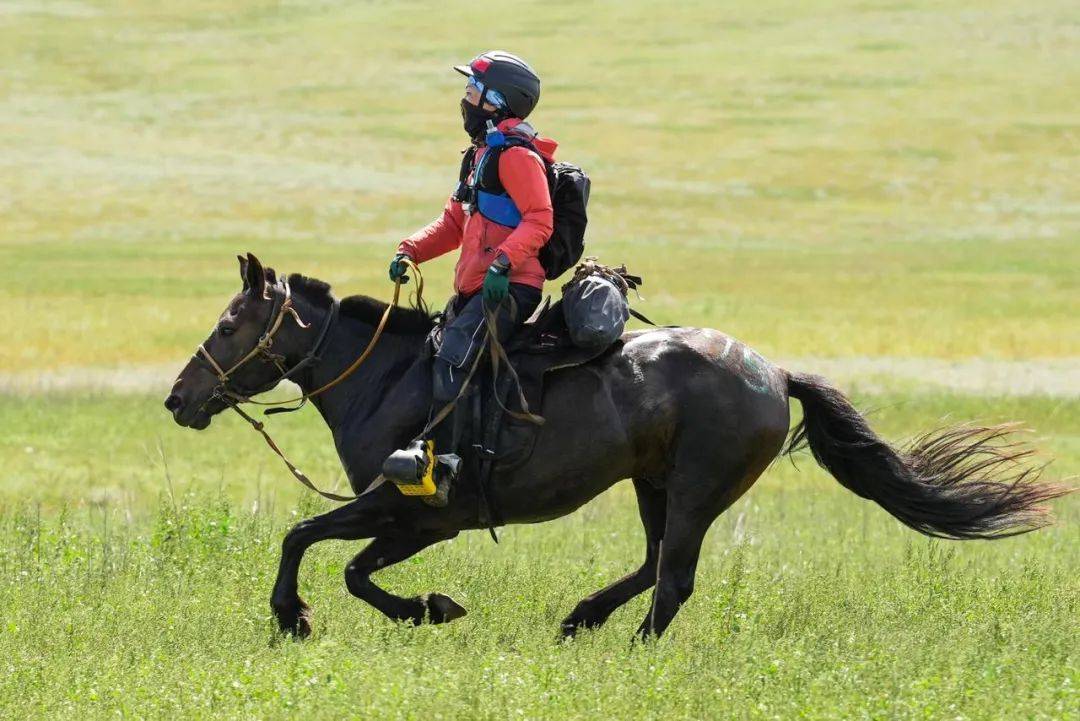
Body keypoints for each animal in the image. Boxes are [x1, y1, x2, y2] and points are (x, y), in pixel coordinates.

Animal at [164, 255, 1067, 638]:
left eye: (230, 323)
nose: (178, 398)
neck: (387, 377)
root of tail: (773, 372)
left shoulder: (417, 514)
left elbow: (314, 545)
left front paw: (306, 616)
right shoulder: (411, 521)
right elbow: (338, 557)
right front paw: (423, 608)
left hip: (700, 487)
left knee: (674, 579)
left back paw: (631, 647)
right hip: (651, 481)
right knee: (651, 562)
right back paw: (580, 618)